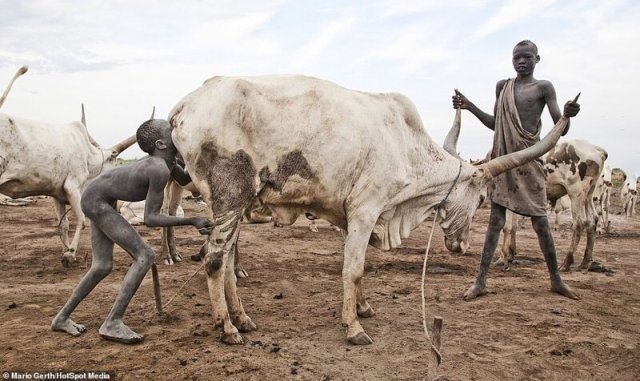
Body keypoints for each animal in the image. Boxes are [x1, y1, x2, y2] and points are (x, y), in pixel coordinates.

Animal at [0, 65, 136, 266]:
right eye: (115, 162)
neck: (88, 157)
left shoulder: (57, 194)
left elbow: (63, 225)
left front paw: (67, 250)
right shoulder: (72, 187)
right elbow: (81, 220)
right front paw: (70, 253)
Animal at [168, 74, 572, 344]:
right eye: (482, 199)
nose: (462, 246)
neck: (406, 145)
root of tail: (186, 105)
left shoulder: (353, 218)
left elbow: (358, 269)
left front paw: (362, 309)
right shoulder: (365, 211)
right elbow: (354, 270)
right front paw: (354, 327)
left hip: (235, 206)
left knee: (228, 264)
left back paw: (242, 318)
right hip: (230, 199)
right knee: (214, 260)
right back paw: (227, 328)